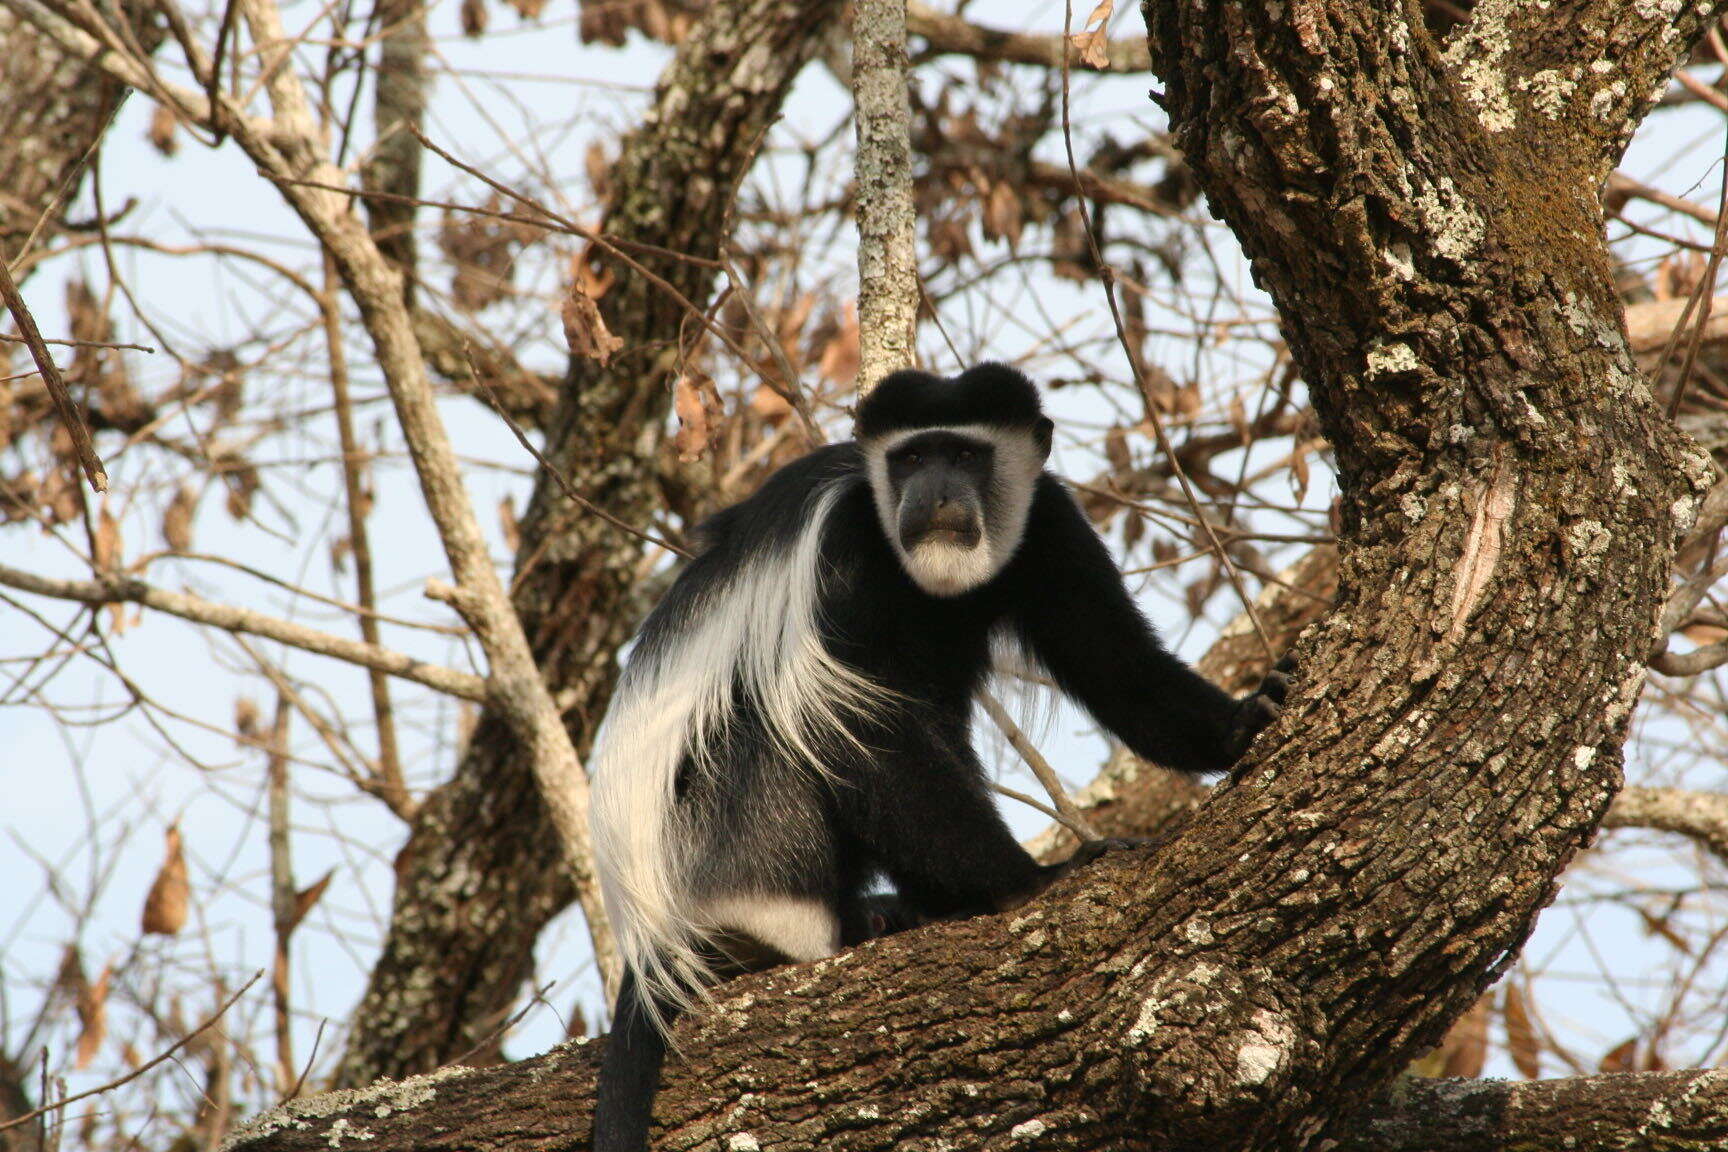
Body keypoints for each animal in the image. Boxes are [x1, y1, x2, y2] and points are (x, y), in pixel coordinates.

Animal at [590, 362, 1285, 1152]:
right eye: (914, 457)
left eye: (966, 455)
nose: (937, 493)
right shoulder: (841, 548)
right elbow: (857, 728)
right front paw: (1032, 881)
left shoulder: (1051, 526)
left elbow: (1117, 665)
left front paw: (1240, 724)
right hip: (703, 839)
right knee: (770, 722)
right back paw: (784, 927)